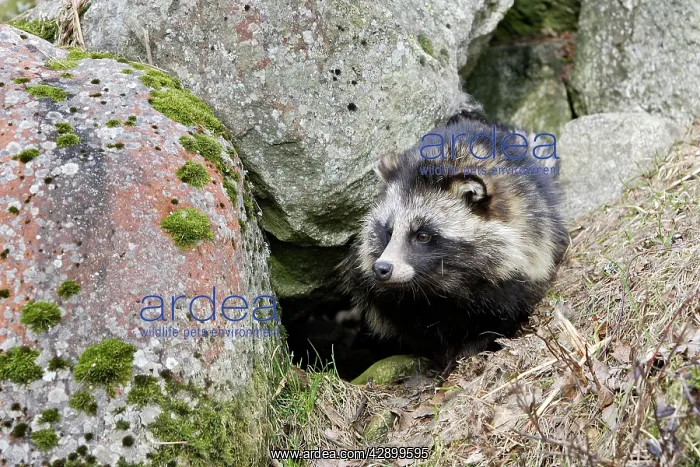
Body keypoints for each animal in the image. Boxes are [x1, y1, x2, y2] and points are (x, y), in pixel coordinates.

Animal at [339, 112, 570, 368]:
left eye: (422, 235)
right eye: (388, 232)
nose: (382, 268)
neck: (438, 287)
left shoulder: (525, 258)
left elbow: (506, 310)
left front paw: (472, 346)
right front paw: (438, 354)